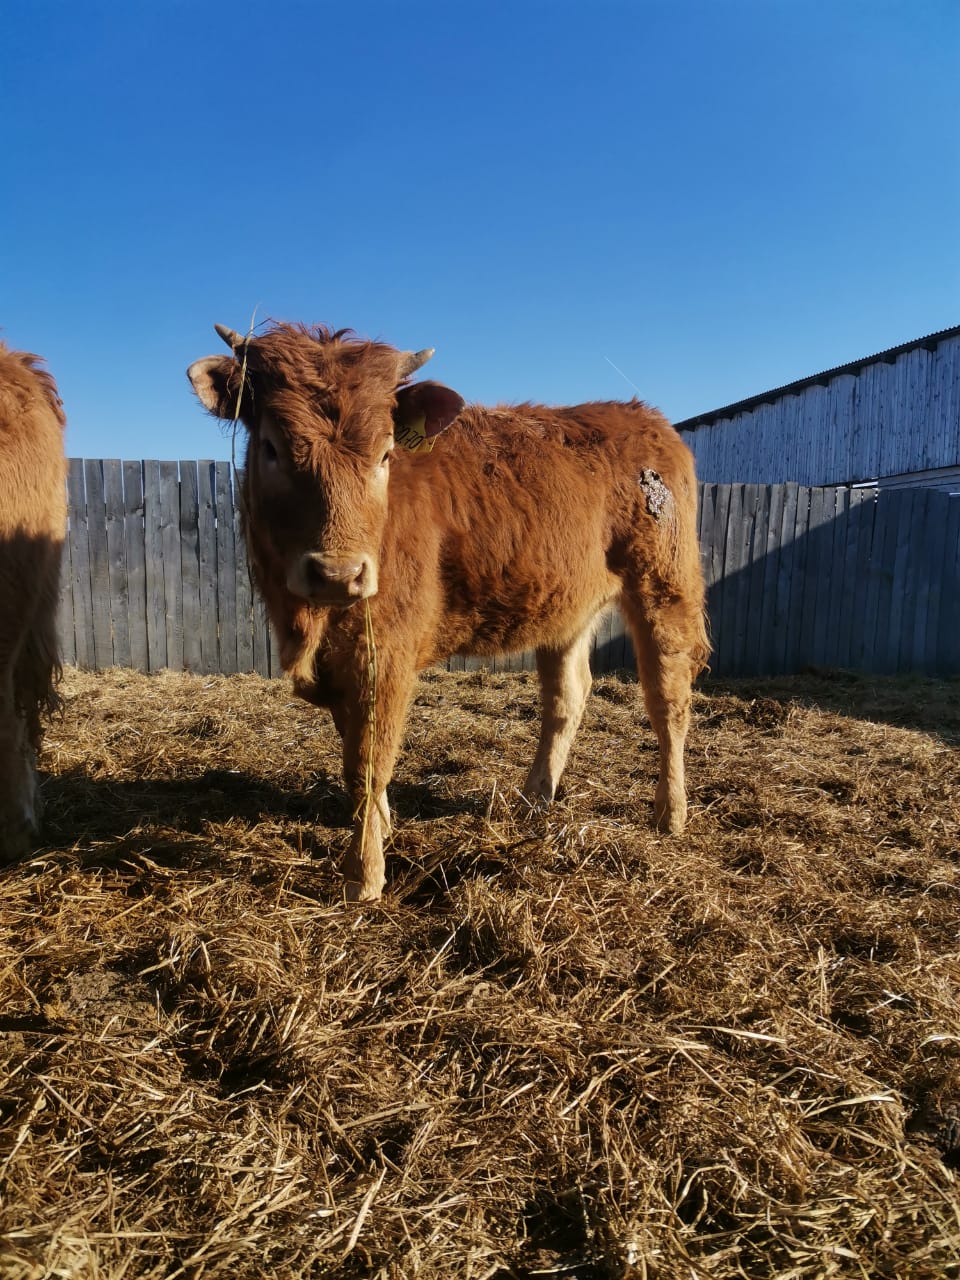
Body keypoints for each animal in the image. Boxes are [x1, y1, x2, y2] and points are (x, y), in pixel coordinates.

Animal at [189, 320, 716, 901]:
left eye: (385, 454)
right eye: (271, 448)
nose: (338, 574)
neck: (308, 625)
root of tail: (644, 417)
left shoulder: (385, 654)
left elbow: (369, 759)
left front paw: (364, 874)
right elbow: (354, 746)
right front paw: (382, 825)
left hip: (664, 589)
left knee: (668, 699)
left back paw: (670, 813)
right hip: (568, 609)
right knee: (568, 697)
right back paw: (534, 798)